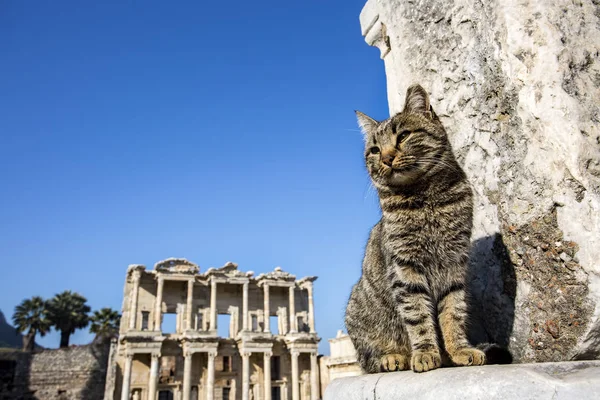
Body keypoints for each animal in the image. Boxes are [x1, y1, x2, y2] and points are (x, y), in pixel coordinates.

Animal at [344, 85, 500, 376]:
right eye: (374, 149)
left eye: (403, 135)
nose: (386, 158)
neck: (427, 200)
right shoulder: (405, 266)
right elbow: (417, 315)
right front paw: (426, 353)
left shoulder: (454, 263)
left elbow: (453, 311)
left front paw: (458, 350)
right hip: (359, 312)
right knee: (368, 361)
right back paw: (394, 357)